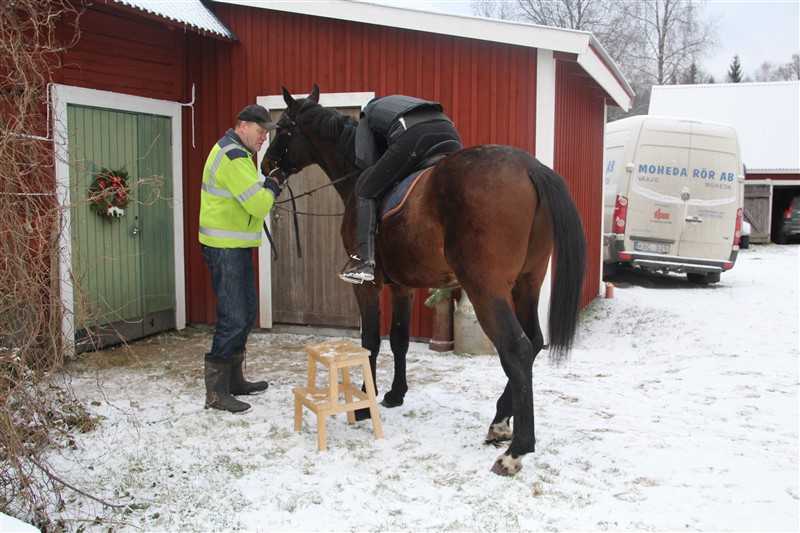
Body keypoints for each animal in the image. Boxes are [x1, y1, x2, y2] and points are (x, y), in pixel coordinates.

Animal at [266, 84, 584, 474]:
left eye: (282, 128)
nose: (265, 165)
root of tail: (531, 167)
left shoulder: (369, 287)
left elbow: (370, 342)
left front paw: (362, 402)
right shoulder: (403, 287)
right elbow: (399, 340)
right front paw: (394, 394)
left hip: (486, 290)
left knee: (518, 349)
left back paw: (516, 450)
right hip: (527, 283)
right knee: (536, 341)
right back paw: (499, 421)